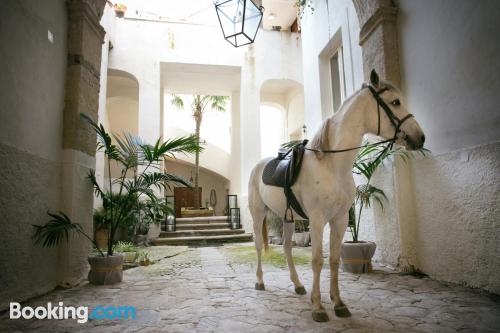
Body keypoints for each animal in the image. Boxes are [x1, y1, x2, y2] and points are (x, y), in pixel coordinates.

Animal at [248, 70, 424, 322]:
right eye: (395, 102)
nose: (420, 137)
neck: (332, 164)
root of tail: (258, 166)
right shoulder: (317, 220)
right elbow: (317, 261)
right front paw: (318, 307)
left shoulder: (339, 219)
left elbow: (332, 260)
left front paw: (338, 303)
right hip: (258, 214)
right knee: (258, 246)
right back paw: (260, 281)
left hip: (287, 218)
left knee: (288, 248)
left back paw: (298, 285)